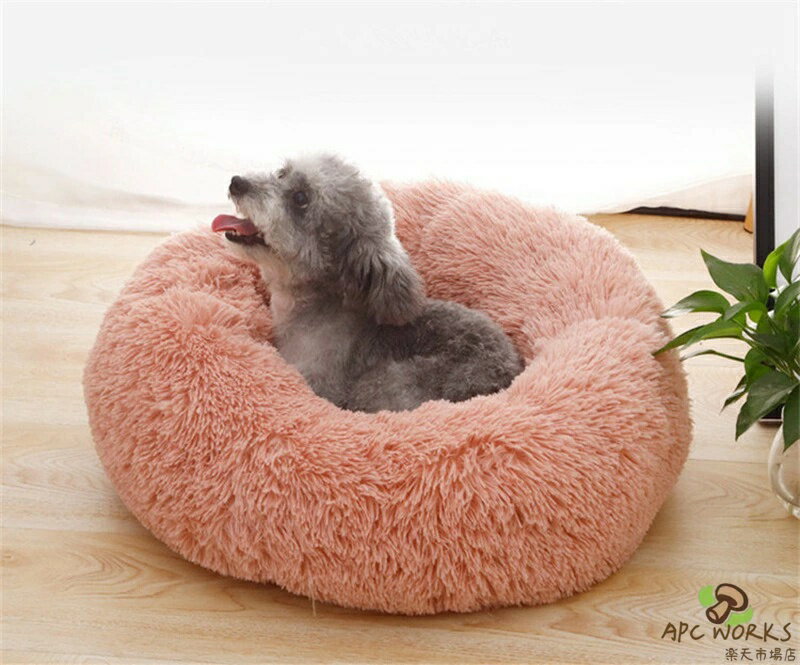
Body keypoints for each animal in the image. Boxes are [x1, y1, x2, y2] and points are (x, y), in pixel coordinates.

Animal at [212, 154, 524, 412]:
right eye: (282, 173)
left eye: (301, 198)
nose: (236, 182)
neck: (315, 307)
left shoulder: (319, 380)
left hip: (383, 384)